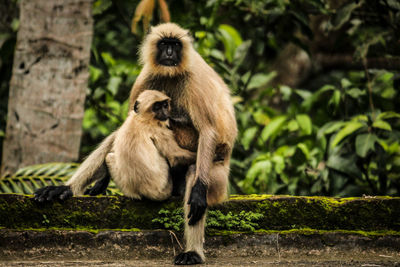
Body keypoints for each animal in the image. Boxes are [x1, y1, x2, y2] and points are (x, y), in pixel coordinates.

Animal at [34, 23, 236, 266]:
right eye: (164, 44)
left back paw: (193, 251)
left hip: (217, 179)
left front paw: (197, 193)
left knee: (194, 171)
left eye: (175, 45)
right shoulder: (147, 76)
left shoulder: (193, 79)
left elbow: (207, 130)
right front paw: (101, 181)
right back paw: (66, 189)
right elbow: (128, 123)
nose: (170, 53)